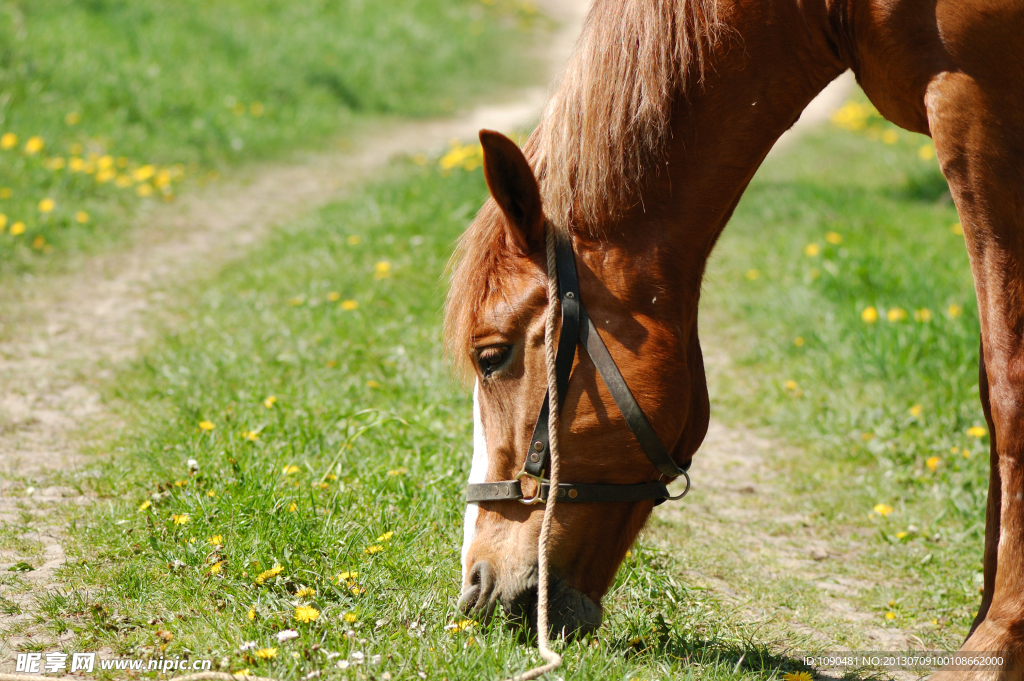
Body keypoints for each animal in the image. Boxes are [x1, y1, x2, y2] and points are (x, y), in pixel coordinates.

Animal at [444, 0, 1024, 671]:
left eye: (491, 356)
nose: (475, 589)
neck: (830, 13)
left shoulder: (978, 111)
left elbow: (1009, 394)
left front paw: (996, 640)